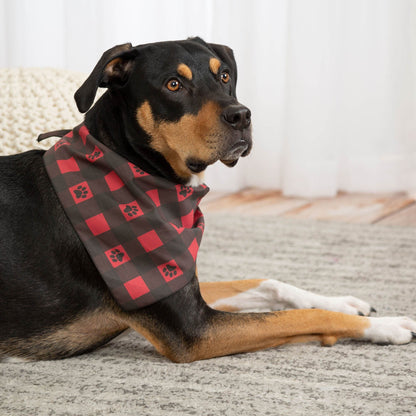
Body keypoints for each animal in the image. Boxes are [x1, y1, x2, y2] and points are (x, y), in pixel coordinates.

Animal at [0, 39, 416, 364]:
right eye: (174, 84)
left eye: (224, 76)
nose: (242, 115)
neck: (134, 168)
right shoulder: (194, 328)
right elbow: (304, 318)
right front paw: (385, 325)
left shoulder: (185, 281)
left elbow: (270, 283)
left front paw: (344, 301)